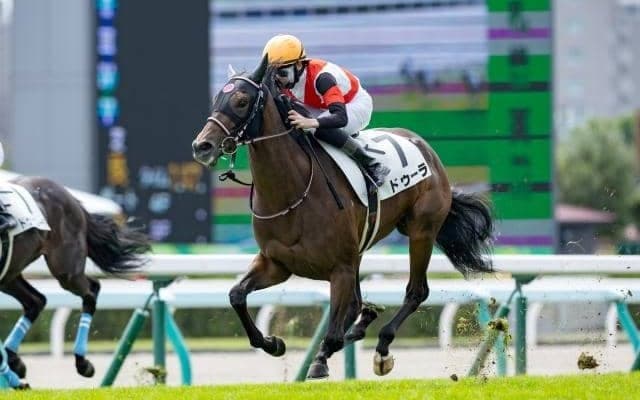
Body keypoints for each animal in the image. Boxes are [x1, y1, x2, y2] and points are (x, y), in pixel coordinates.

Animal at [0, 176, 150, 389]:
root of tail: (70, 197)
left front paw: (17, 381)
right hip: (10, 274)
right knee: (36, 301)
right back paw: (15, 361)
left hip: (66, 269)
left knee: (91, 290)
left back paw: (82, 362)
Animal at [192, 55, 494, 379]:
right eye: (216, 98)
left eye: (241, 100)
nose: (202, 146)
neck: (292, 192)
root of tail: (423, 146)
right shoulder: (276, 263)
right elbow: (236, 295)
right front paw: (273, 343)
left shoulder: (341, 268)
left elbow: (334, 333)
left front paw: (320, 361)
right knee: (359, 307)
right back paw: (366, 322)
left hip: (421, 231)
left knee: (416, 292)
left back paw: (382, 346)